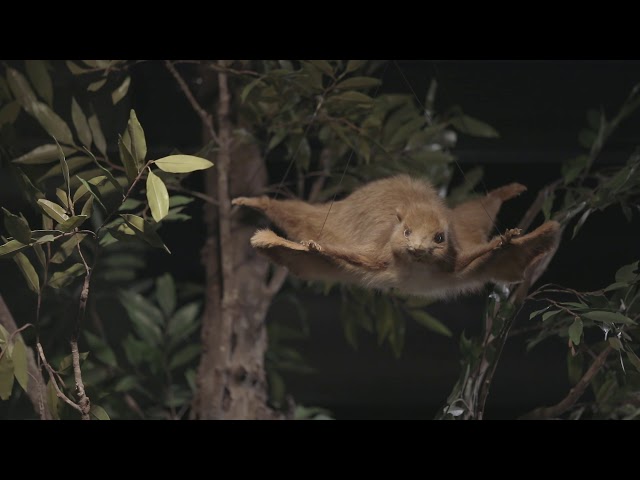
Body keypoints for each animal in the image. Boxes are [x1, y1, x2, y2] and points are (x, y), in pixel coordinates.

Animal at [234, 174, 560, 298]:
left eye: (439, 238)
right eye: (406, 232)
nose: (417, 247)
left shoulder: (458, 257)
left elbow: (489, 250)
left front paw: (507, 239)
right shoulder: (375, 255)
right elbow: (336, 253)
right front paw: (314, 248)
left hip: (467, 227)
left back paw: (508, 193)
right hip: (324, 219)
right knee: (296, 214)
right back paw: (253, 203)